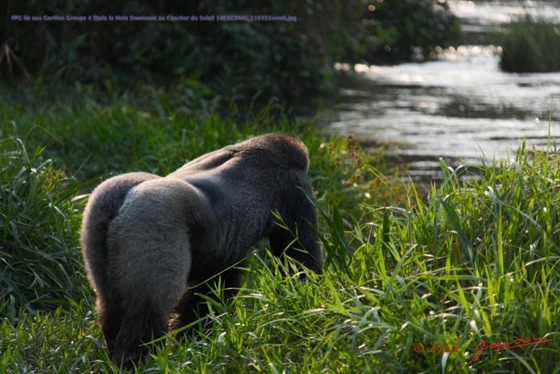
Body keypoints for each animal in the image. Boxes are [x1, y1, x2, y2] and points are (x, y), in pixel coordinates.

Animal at [80, 133, 322, 366]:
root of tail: (121, 203)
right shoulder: (293, 188)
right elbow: (300, 260)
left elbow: (210, 292)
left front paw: (193, 338)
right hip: (152, 218)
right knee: (149, 307)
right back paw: (137, 358)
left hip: (98, 211)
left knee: (110, 300)